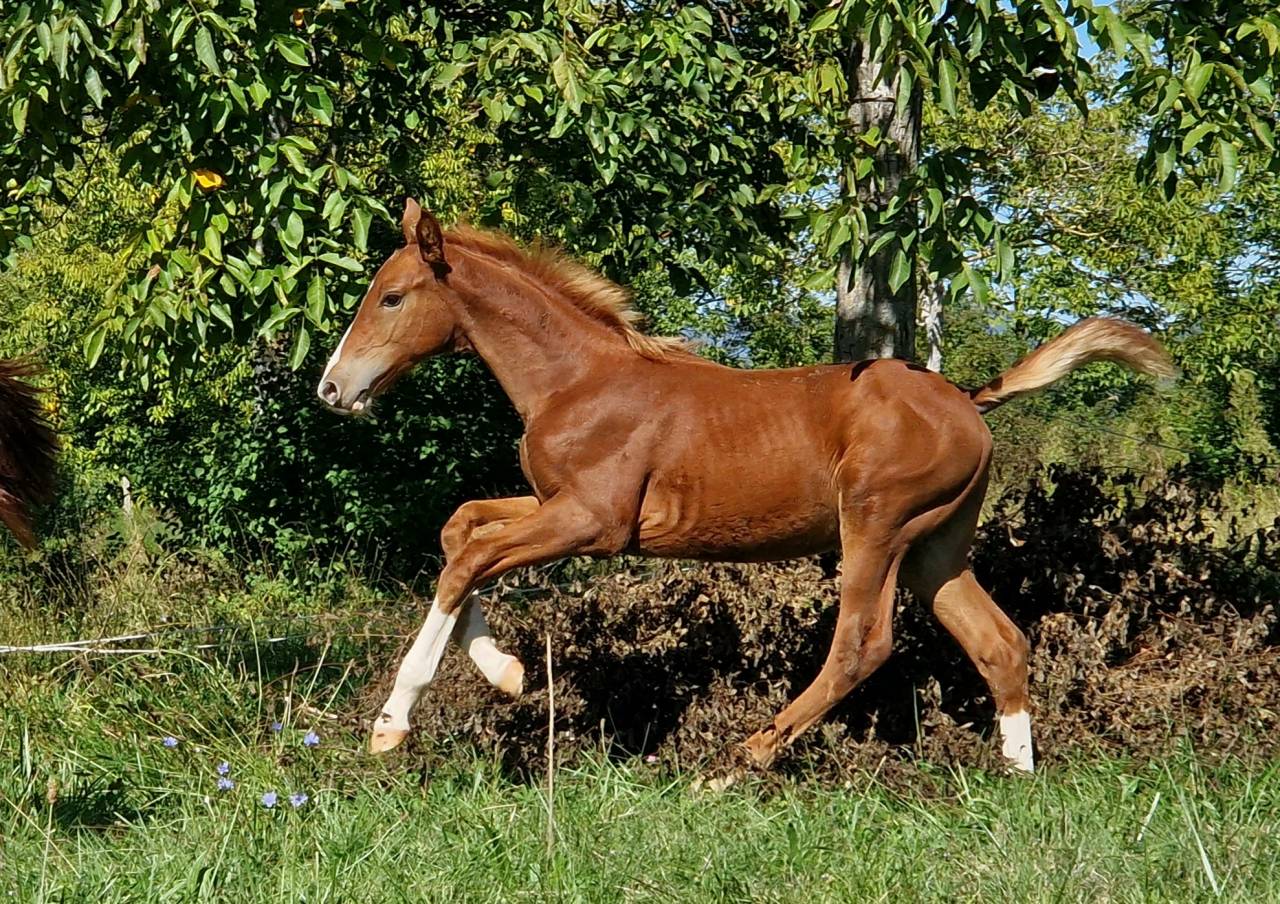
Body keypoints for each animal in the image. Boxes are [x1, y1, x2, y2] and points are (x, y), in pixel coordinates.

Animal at [317, 199, 1175, 773]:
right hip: (936, 546)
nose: (331, 388)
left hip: (876, 525)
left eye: (391, 297)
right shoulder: (555, 504)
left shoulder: (595, 521)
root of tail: (968, 399)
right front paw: (509, 671)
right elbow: (461, 528)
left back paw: (742, 760)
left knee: (862, 643)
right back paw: (1015, 779)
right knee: (999, 643)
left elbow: (467, 558)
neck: (578, 380)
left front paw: (395, 721)